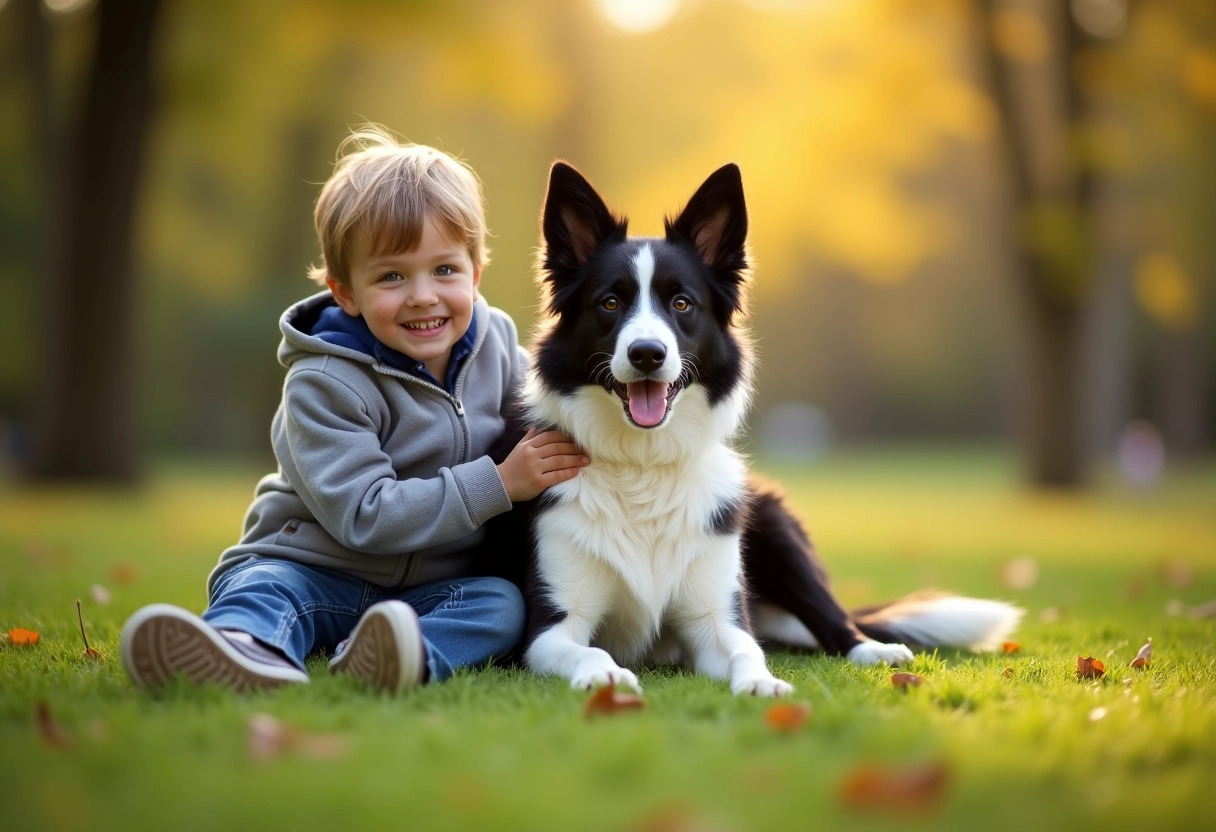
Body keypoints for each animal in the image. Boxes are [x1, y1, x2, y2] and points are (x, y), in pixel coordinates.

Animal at [508, 160, 1021, 695]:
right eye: (610, 303)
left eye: (682, 303)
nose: (647, 354)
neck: (642, 465)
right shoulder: (552, 627)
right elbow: (586, 650)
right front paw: (605, 673)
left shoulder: (717, 617)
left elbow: (746, 651)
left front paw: (760, 683)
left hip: (776, 525)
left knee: (832, 619)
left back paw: (872, 649)